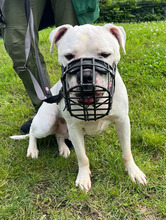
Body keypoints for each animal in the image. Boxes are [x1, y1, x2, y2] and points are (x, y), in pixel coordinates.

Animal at [10, 24, 147, 192]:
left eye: (105, 54)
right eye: (69, 56)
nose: (86, 75)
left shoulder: (122, 122)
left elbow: (126, 152)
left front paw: (134, 172)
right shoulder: (75, 129)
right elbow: (82, 157)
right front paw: (83, 178)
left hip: (62, 129)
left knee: (58, 135)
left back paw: (63, 148)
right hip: (45, 124)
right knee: (32, 132)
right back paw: (32, 149)